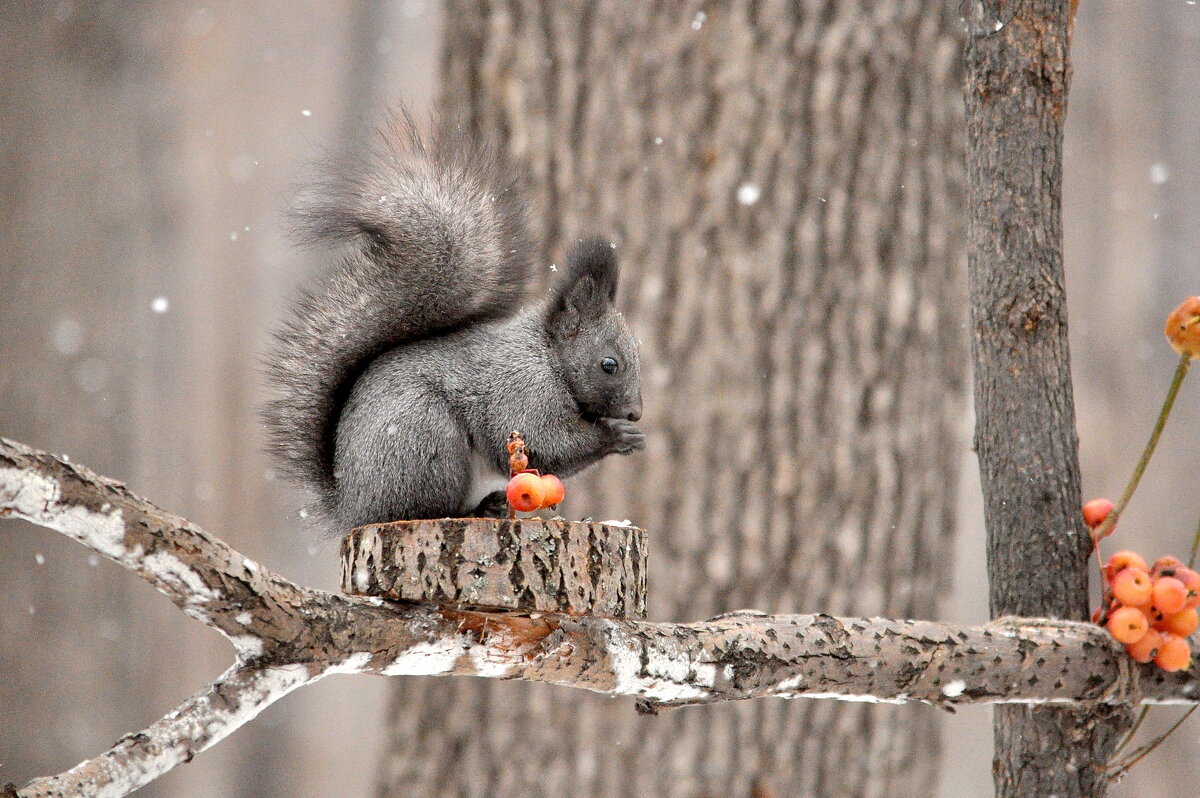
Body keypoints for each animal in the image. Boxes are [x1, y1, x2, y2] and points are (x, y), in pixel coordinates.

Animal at [265, 112, 648, 532]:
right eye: (609, 364)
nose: (635, 413)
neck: (547, 354)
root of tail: (352, 505)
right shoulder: (520, 389)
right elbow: (547, 442)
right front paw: (617, 435)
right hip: (424, 440)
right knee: (423, 507)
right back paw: (474, 510)